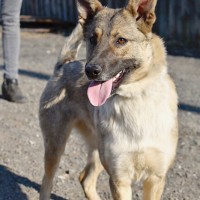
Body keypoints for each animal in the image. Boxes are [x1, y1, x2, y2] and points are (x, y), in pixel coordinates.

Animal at [39, 0, 178, 199]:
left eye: (121, 40)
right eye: (92, 39)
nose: (90, 71)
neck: (134, 98)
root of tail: (64, 64)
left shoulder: (155, 178)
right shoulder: (119, 178)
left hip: (96, 149)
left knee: (85, 178)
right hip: (55, 146)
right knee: (47, 182)